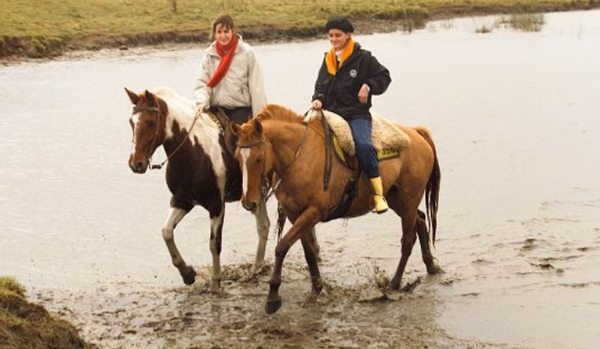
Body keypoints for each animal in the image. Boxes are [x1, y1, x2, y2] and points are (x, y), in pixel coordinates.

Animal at [126, 87, 270, 290]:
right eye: (131, 122)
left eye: (151, 122)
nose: (136, 163)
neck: (194, 151)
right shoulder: (182, 200)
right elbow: (166, 232)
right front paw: (187, 273)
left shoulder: (217, 205)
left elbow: (214, 244)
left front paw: (215, 282)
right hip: (257, 198)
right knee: (264, 226)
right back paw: (257, 267)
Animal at [232, 103, 442, 312]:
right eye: (237, 158)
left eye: (258, 159)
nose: (249, 202)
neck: (299, 158)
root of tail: (416, 133)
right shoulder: (294, 214)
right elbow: (309, 251)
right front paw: (316, 289)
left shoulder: (314, 212)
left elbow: (282, 246)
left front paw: (273, 297)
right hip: (396, 199)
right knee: (420, 220)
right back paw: (431, 266)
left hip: (409, 199)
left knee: (407, 240)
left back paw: (395, 283)